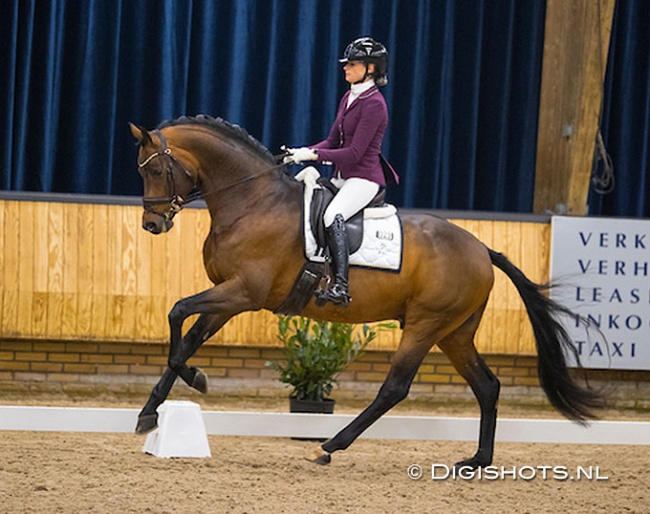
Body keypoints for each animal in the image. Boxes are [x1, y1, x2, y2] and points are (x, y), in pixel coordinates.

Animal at [129, 114, 600, 466]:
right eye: (142, 170)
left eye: (155, 168)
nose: (152, 225)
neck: (252, 202)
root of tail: (482, 249)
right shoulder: (228, 295)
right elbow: (188, 338)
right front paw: (151, 412)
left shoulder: (245, 292)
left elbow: (176, 313)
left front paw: (195, 381)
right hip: (455, 333)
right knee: (487, 386)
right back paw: (477, 461)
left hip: (427, 325)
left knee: (396, 387)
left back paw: (330, 446)